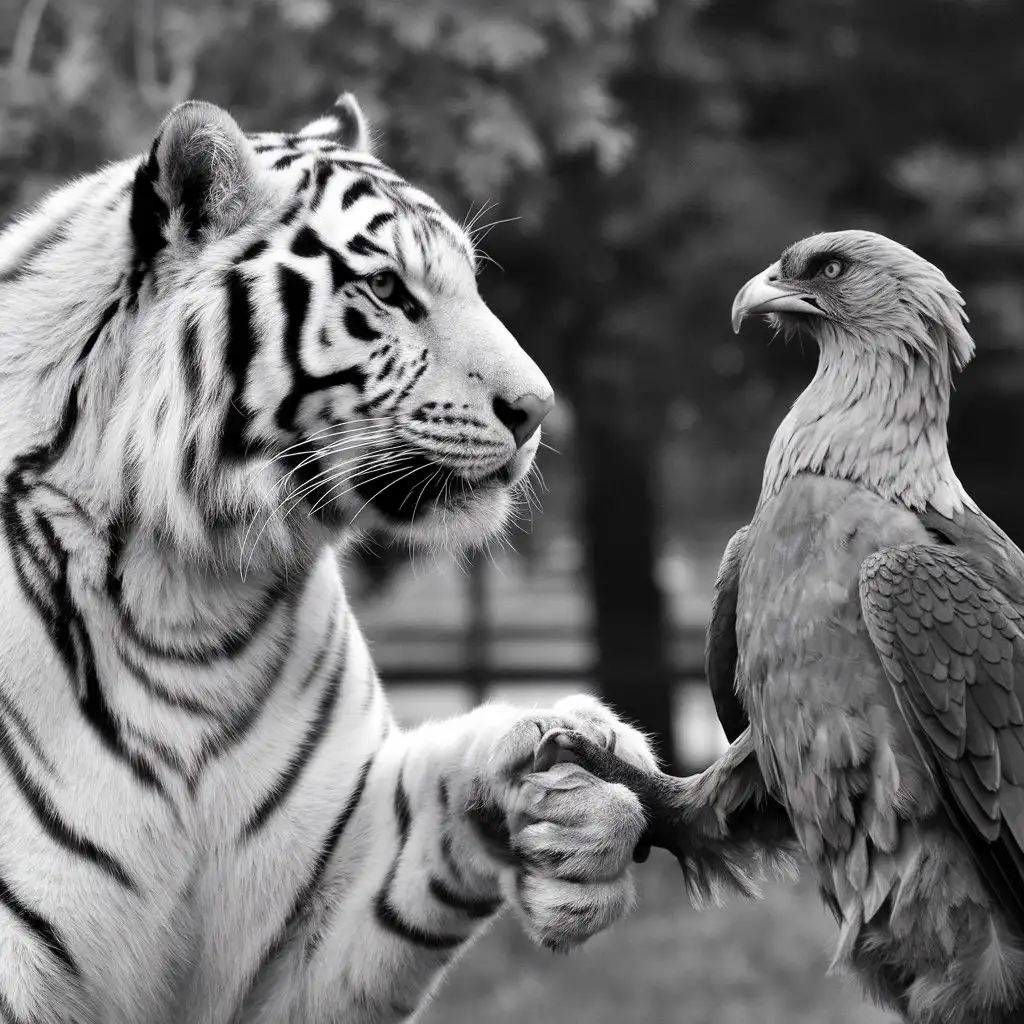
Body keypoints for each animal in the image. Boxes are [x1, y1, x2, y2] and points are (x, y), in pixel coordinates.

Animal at [0, 96, 655, 1024]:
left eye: (471, 283)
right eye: (387, 290)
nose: (536, 409)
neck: (189, 595)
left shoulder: (310, 928)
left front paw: (588, 806)